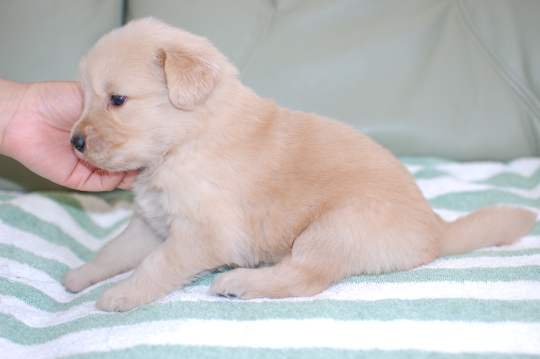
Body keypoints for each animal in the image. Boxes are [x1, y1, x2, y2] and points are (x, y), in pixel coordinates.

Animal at [62, 18, 536, 312]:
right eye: (83, 96)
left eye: (117, 99)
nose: (75, 142)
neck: (186, 139)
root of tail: (437, 230)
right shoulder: (152, 222)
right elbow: (113, 250)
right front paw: (82, 276)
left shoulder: (202, 233)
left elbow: (155, 265)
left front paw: (121, 295)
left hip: (335, 227)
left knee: (305, 279)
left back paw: (240, 283)